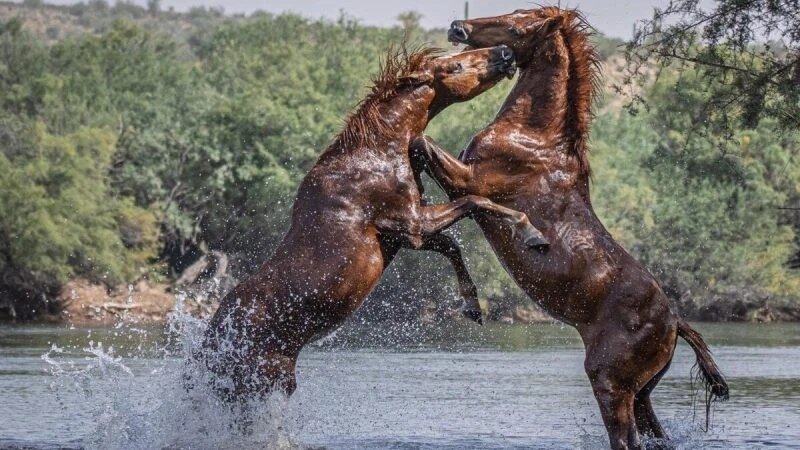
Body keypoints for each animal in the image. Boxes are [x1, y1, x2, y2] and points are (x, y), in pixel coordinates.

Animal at [203, 44, 548, 400]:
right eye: (455, 66)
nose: (505, 53)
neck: (380, 152)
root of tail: (210, 346)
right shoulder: (411, 223)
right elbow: (475, 202)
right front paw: (531, 231)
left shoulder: (404, 234)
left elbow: (452, 245)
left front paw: (472, 306)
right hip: (264, 381)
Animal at [412, 7, 732, 450]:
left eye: (517, 24)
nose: (458, 28)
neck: (533, 135)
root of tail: (674, 323)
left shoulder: (468, 179)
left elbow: (421, 144)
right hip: (641, 394)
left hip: (610, 385)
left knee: (625, 440)